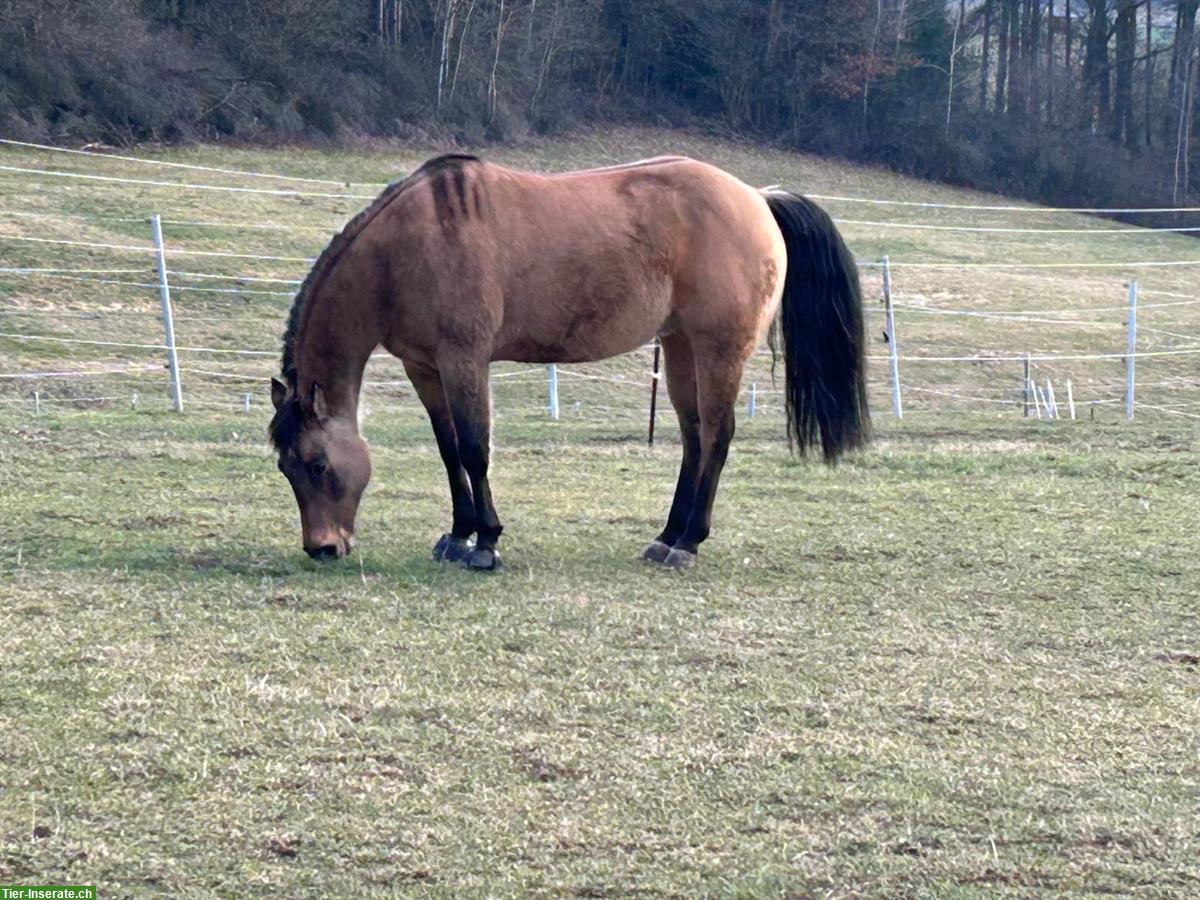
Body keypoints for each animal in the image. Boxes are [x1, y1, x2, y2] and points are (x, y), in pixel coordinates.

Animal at [270, 153, 873, 571]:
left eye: (317, 464)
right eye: (285, 468)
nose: (323, 548)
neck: (407, 248)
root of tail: (756, 197)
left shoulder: (464, 360)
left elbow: (474, 448)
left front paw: (486, 543)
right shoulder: (425, 367)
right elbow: (448, 450)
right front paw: (458, 534)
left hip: (718, 349)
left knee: (717, 437)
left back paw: (689, 543)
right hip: (680, 346)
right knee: (694, 438)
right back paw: (667, 537)